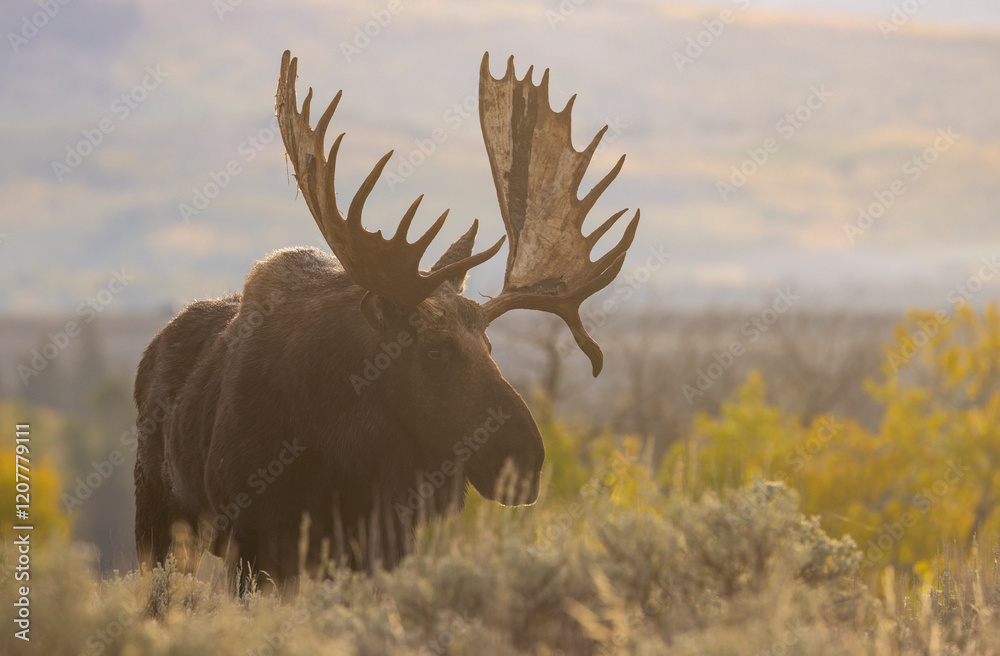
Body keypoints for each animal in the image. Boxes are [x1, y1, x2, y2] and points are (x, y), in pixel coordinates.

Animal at [133, 49, 640, 590]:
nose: (525, 459)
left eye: (489, 346)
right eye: (434, 351)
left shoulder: (386, 539)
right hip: (158, 518)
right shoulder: (251, 536)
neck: (342, 447)